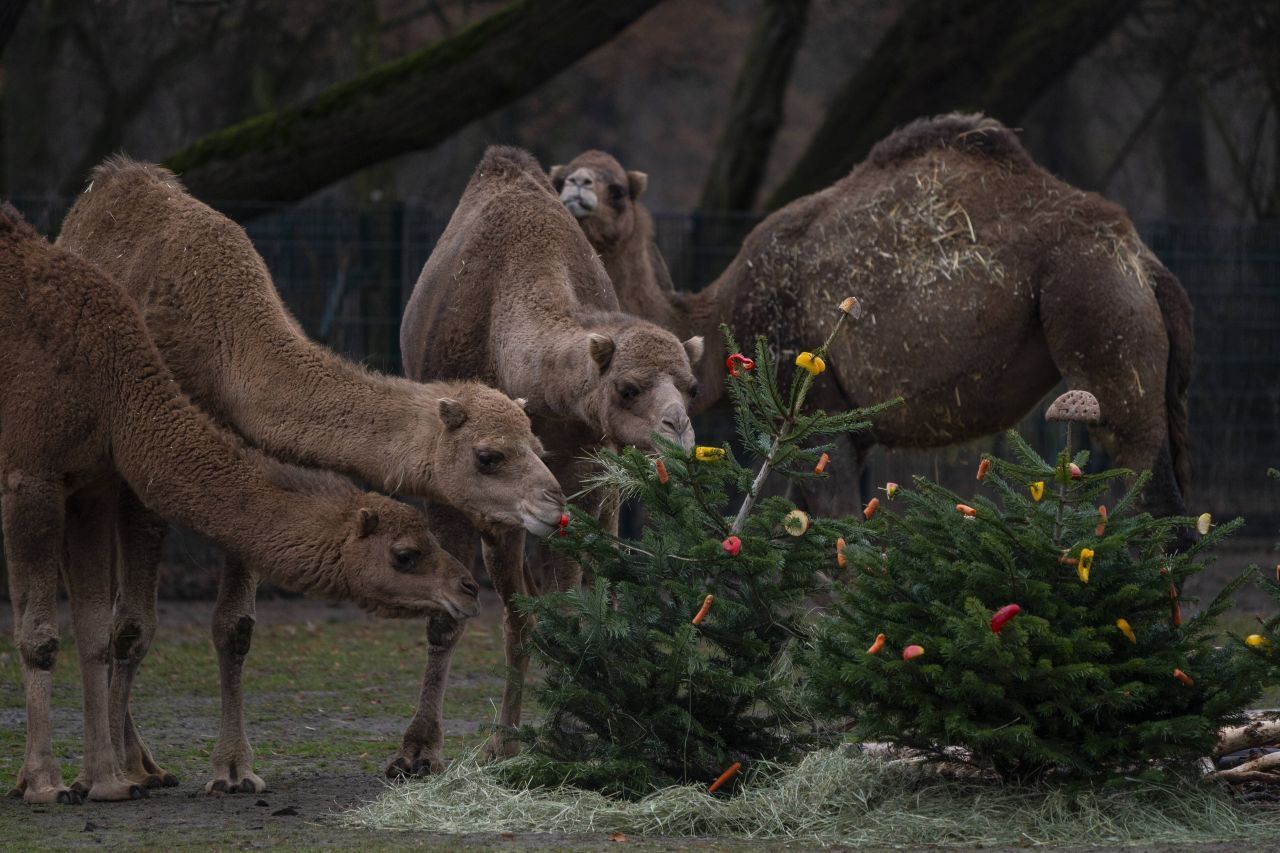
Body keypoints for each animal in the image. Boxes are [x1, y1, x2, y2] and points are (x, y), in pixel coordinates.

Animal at [0, 204, 481, 804]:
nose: (468, 587)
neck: (112, 382)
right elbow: (50, 636)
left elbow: (100, 633)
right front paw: (47, 783)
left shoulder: (93, 484)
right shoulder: (31, 476)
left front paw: (107, 781)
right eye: (405, 554)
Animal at [53, 156, 565, 778]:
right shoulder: (145, 474)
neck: (225, 342)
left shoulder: (249, 467)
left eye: (537, 445)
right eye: (488, 456)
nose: (554, 504)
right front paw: (142, 768)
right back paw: (136, 761)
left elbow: (235, 627)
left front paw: (232, 767)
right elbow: (134, 625)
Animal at [401, 146, 706, 758]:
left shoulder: (578, 477)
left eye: (690, 386)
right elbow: (463, 611)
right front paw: (422, 749)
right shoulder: (462, 489)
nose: (679, 432)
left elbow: (569, 606)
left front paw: (565, 726)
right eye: (627, 387)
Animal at [555, 114, 1192, 517]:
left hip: (1094, 301)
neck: (718, 317)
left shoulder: (811, 401)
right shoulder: (840, 428)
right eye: (565, 175)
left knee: (1146, 486)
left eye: (616, 189)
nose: (575, 189)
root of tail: (1143, 260)